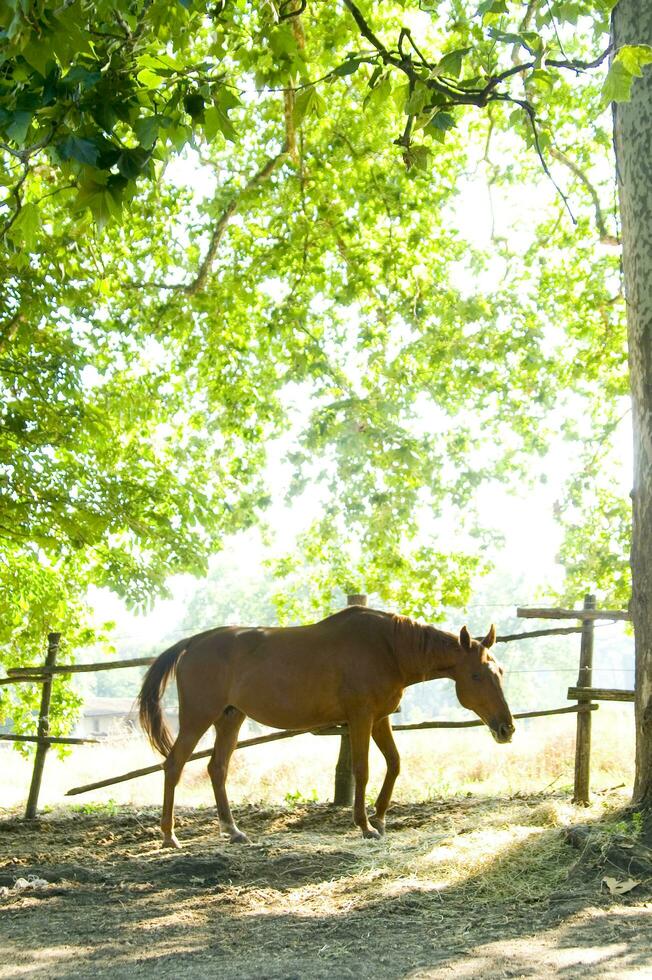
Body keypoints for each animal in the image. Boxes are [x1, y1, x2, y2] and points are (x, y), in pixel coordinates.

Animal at [139, 604, 516, 844]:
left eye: (500, 671)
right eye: (477, 675)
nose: (506, 729)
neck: (389, 648)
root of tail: (193, 643)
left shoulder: (380, 719)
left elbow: (394, 764)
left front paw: (380, 818)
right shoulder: (361, 718)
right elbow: (363, 769)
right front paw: (365, 825)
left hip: (230, 718)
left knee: (217, 768)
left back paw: (232, 831)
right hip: (198, 718)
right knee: (174, 765)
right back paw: (169, 836)